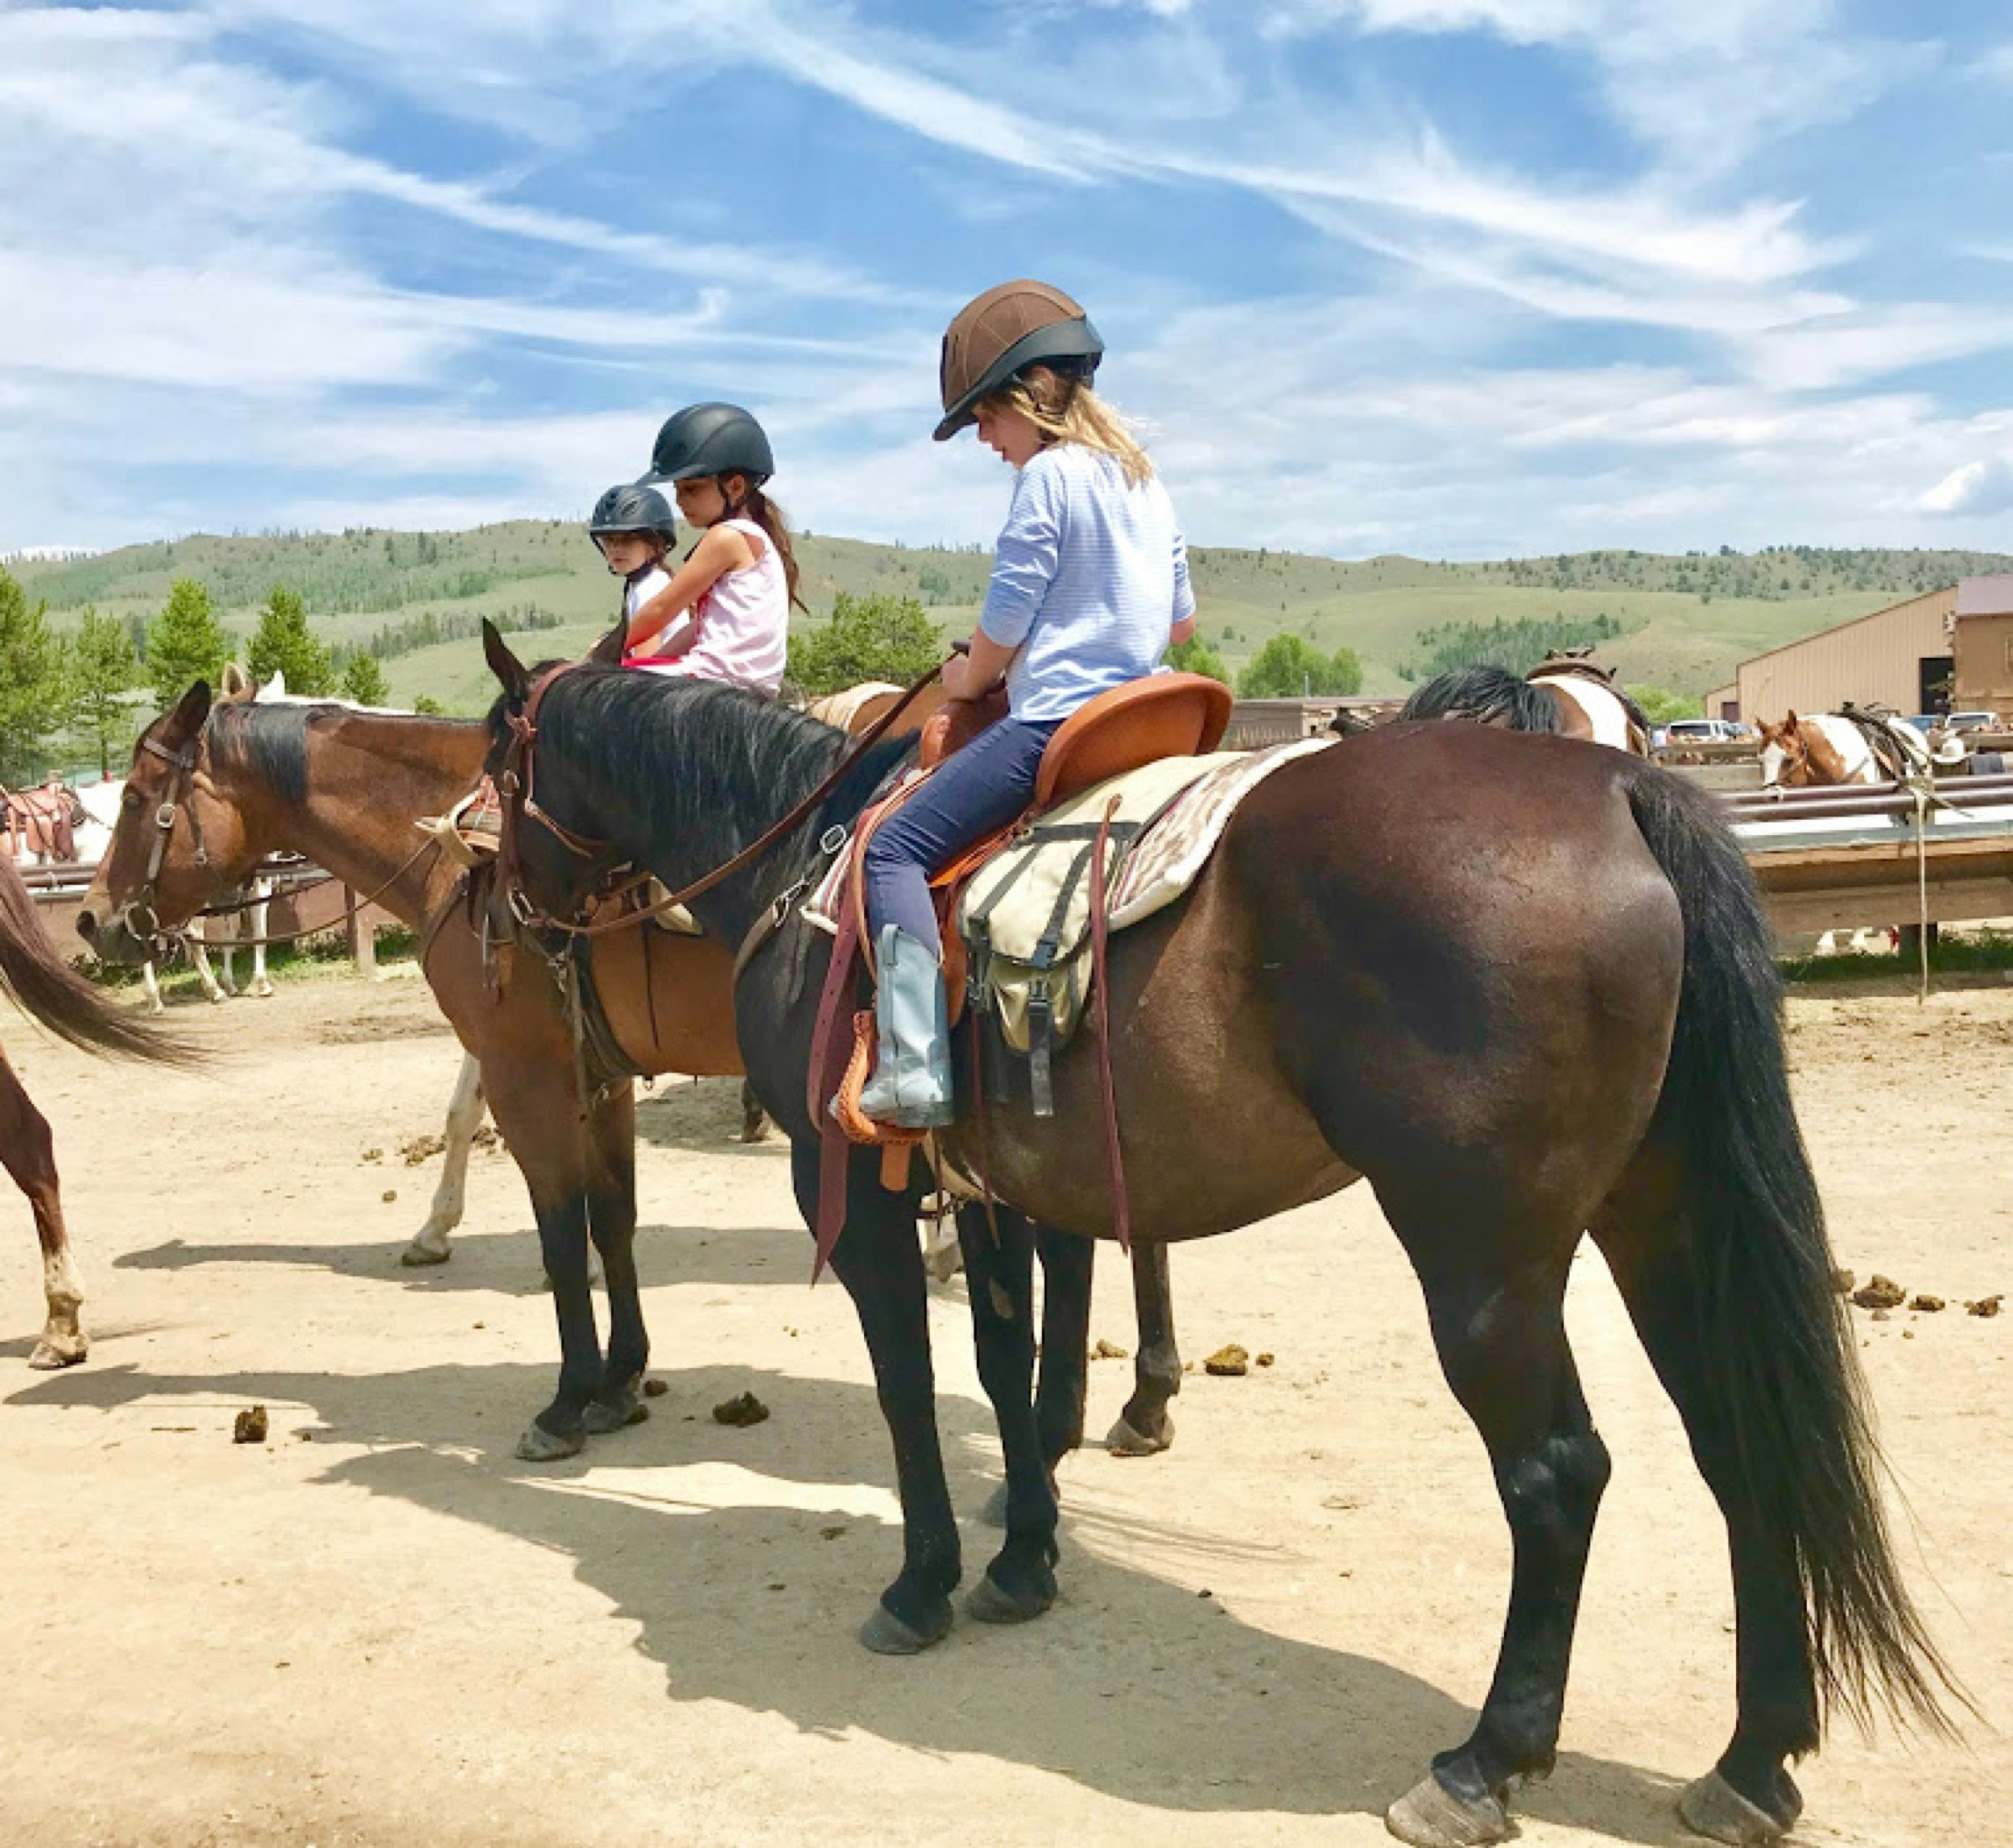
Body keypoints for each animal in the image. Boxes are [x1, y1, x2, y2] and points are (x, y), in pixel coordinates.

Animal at [479, 636, 1957, 1848]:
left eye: (498, 764)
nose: (499, 916)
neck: (807, 858)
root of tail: (1614, 793)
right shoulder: (995, 1193)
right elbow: (1007, 1377)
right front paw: (1023, 1561)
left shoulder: (856, 1193)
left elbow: (911, 1390)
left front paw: (924, 1583)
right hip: (1659, 1216)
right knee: (1740, 1443)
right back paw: (1751, 1763)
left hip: (1485, 1258)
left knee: (1555, 1472)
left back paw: (1484, 1761)